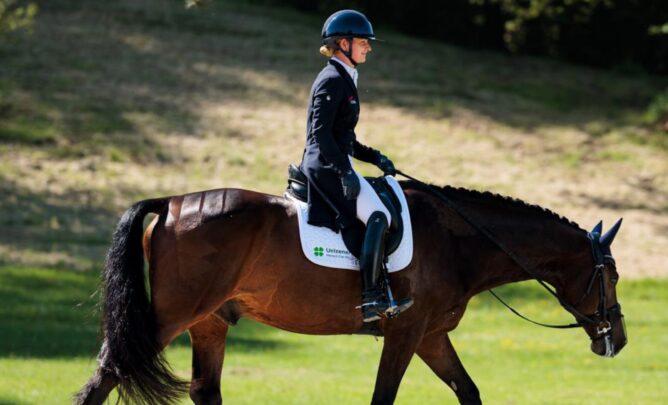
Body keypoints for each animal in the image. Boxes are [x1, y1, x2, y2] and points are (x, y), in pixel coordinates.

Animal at [75, 180, 627, 405]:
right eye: (612, 277)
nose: (617, 340)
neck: (457, 242)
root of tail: (170, 202)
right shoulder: (405, 332)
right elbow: (383, 397)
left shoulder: (431, 337)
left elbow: (469, 391)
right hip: (170, 317)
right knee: (105, 377)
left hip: (209, 322)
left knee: (204, 391)